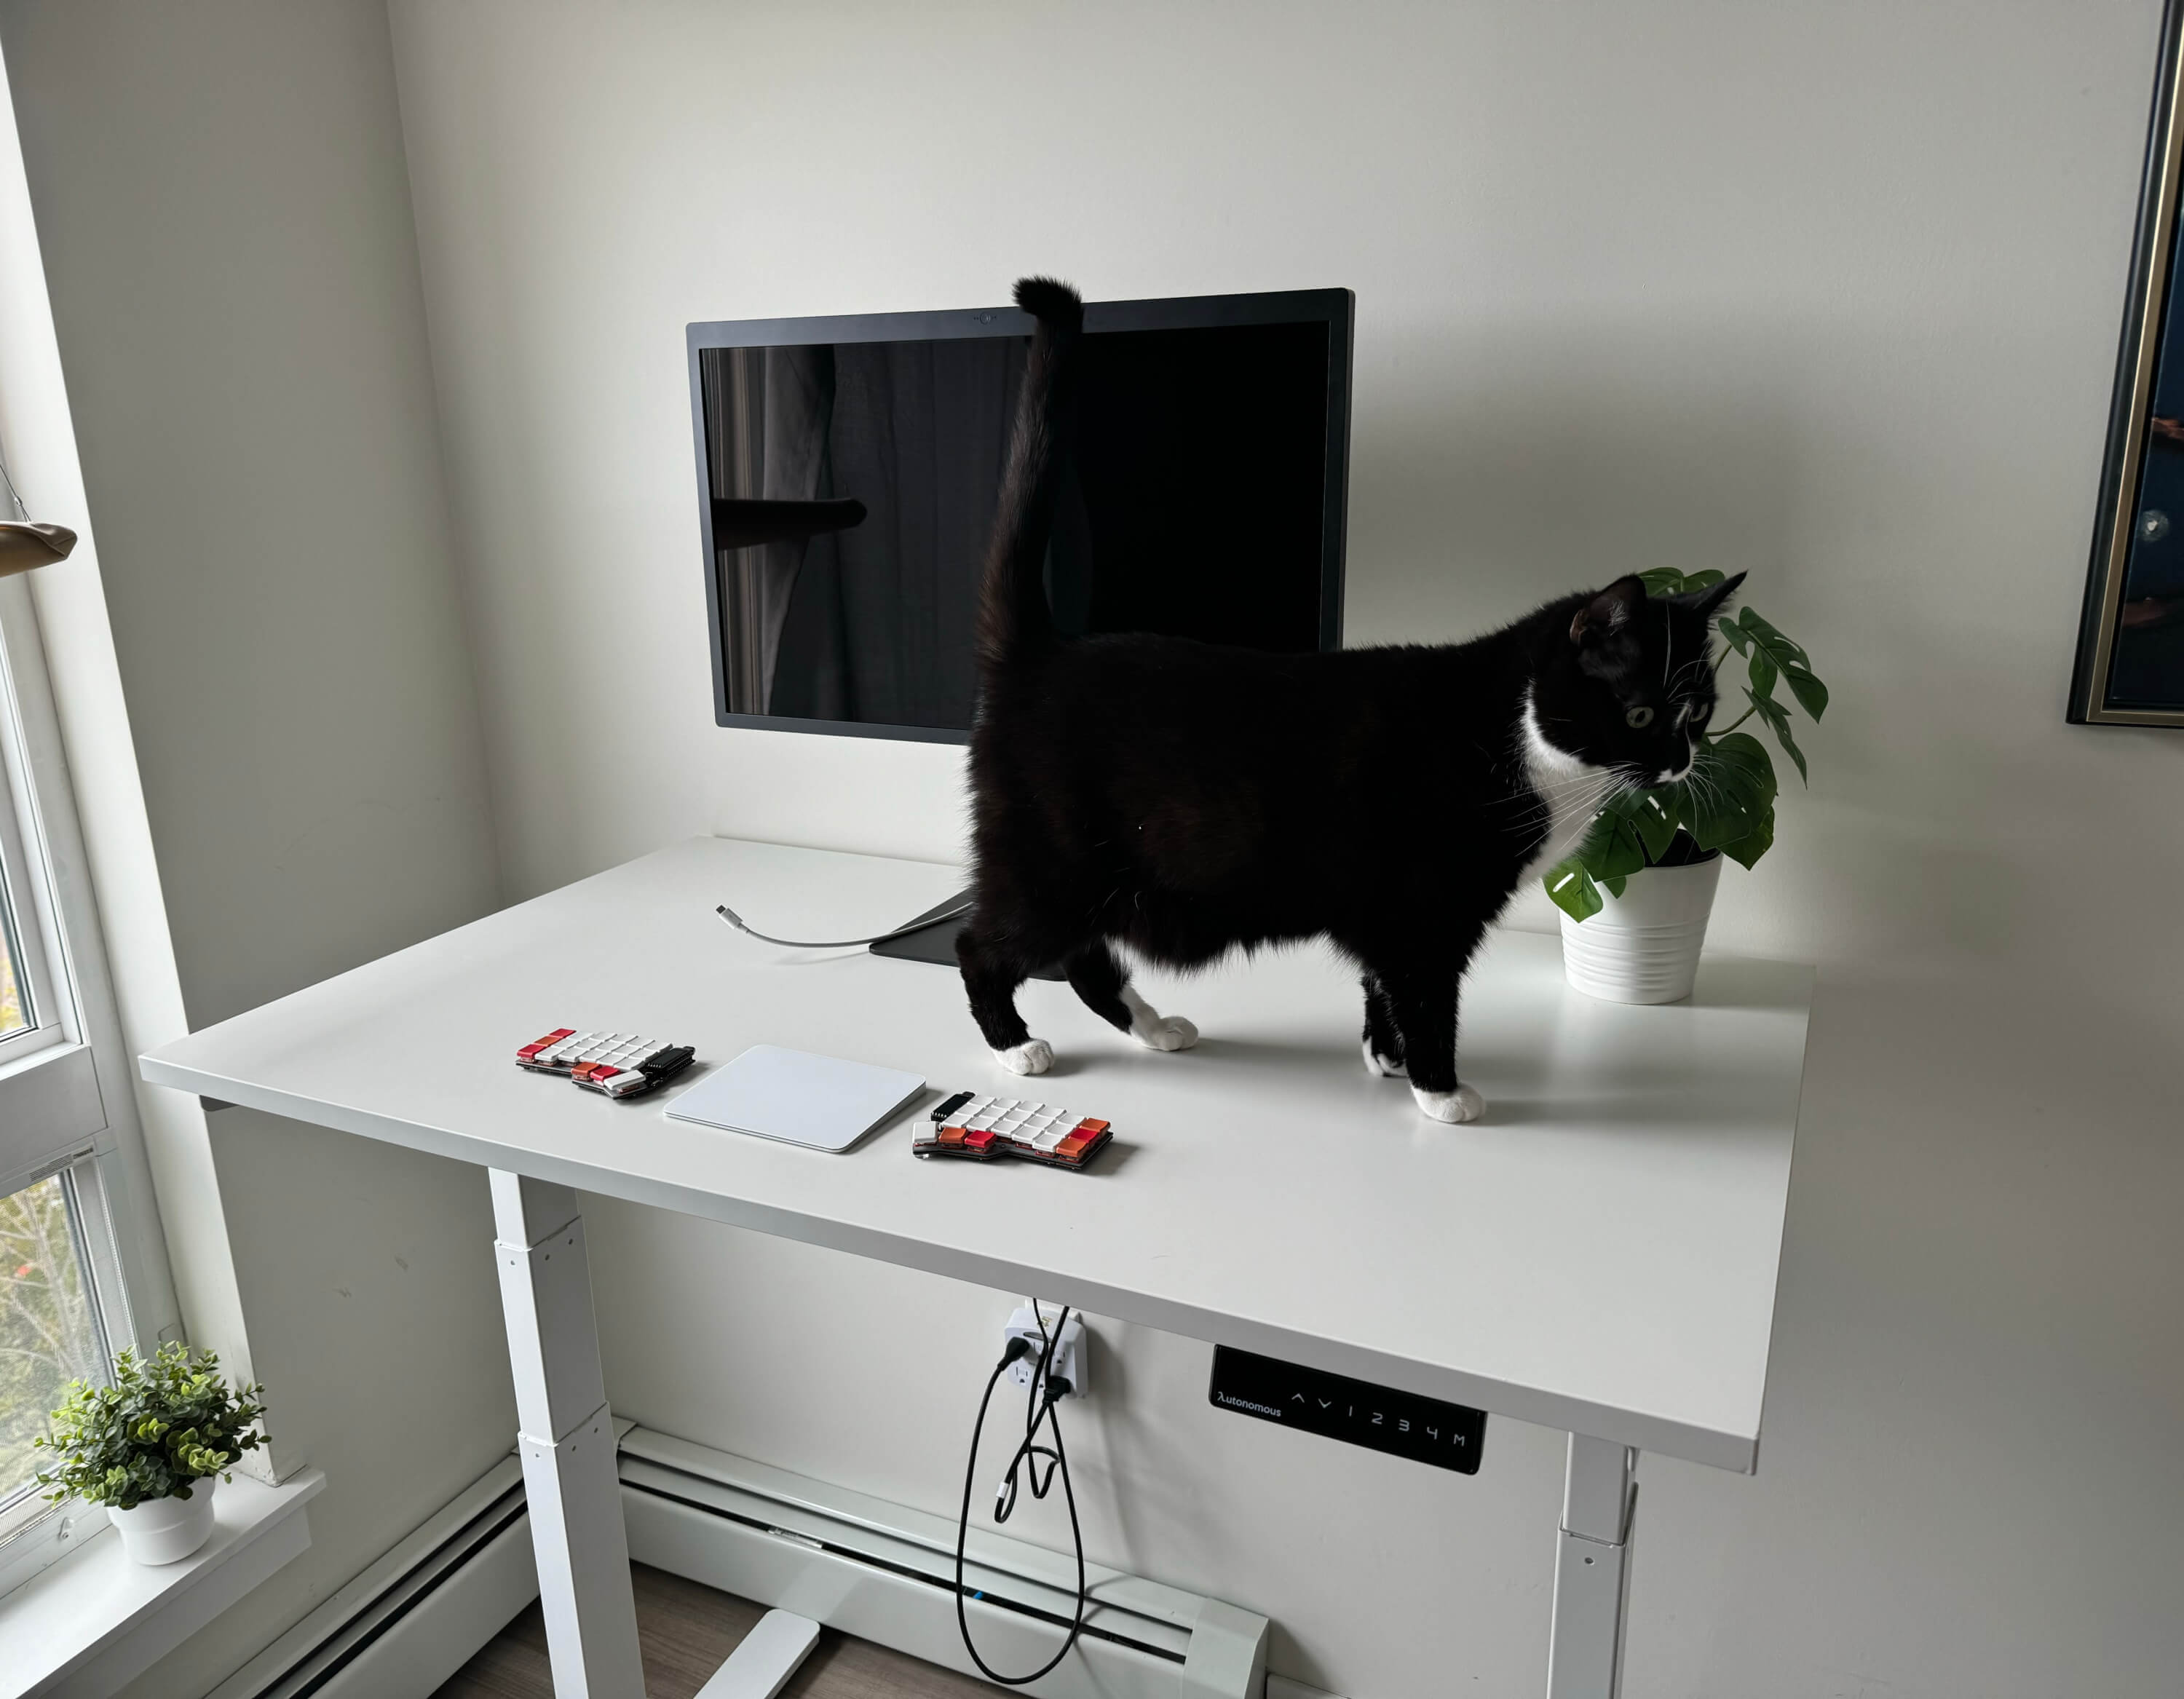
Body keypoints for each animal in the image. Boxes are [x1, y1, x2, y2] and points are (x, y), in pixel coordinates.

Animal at [957, 278, 1738, 1118]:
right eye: (1640, 714)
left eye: (1699, 713)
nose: (1679, 762)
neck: (1523, 744)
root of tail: (1046, 650)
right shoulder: (1426, 907)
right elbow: (1427, 997)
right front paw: (1440, 1090)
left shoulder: (1385, 913)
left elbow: (1380, 984)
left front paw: (1386, 1058)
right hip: (1058, 867)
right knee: (986, 944)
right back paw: (1015, 1045)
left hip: (1104, 883)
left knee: (1085, 958)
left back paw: (1154, 1025)